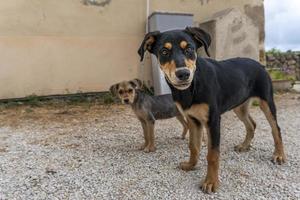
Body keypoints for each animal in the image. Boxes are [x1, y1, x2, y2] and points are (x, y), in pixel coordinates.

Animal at [138, 27, 286, 193]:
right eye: (164, 51)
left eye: (189, 49)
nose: (183, 74)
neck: (193, 86)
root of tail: (259, 64)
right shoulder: (193, 119)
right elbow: (193, 146)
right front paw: (191, 165)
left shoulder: (213, 120)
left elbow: (212, 154)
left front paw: (211, 182)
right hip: (239, 106)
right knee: (251, 124)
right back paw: (244, 146)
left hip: (267, 103)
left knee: (276, 129)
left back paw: (279, 155)